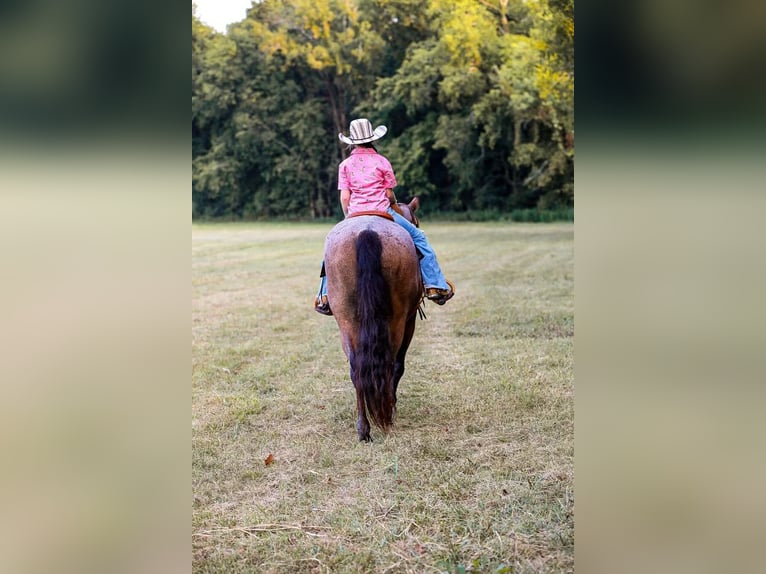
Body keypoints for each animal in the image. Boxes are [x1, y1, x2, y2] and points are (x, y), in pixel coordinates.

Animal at [320, 200, 424, 444]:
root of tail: (367, 232)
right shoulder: (410, 320)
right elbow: (399, 366)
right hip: (397, 321)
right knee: (390, 364)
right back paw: (387, 414)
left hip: (347, 322)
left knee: (356, 369)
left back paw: (363, 429)